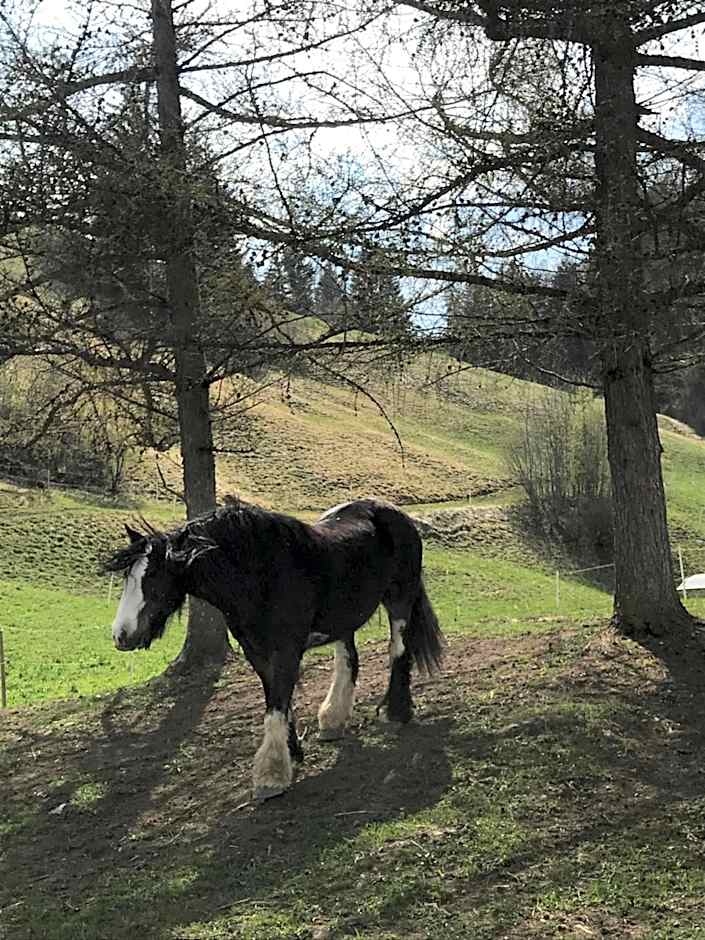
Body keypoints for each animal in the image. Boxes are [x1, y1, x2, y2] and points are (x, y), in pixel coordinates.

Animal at [104, 497, 444, 802]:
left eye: (154, 578)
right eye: (127, 578)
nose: (121, 635)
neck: (258, 574)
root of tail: (396, 514)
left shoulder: (285, 650)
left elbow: (276, 705)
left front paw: (271, 776)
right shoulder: (257, 651)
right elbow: (279, 700)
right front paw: (292, 753)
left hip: (400, 600)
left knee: (398, 650)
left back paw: (396, 713)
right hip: (343, 618)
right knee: (348, 661)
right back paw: (333, 720)